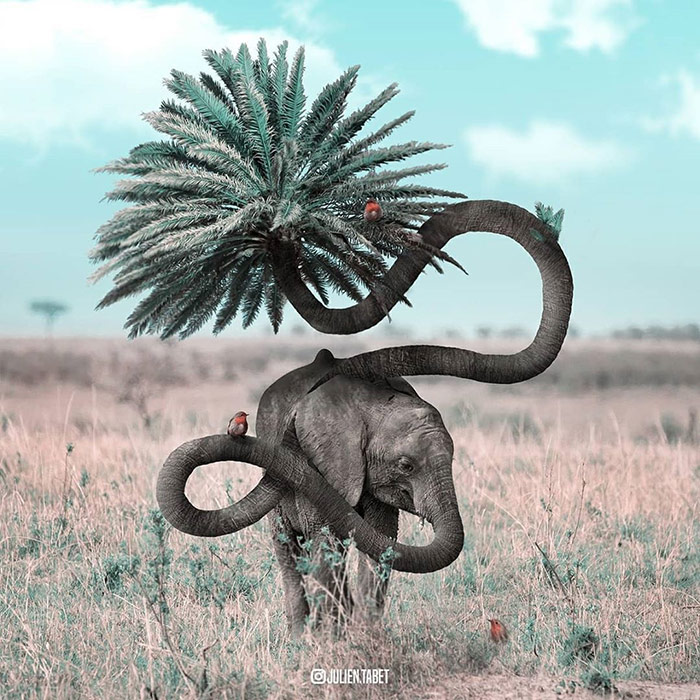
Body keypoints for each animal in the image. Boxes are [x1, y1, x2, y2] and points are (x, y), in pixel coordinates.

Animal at [156, 199, 573, 632]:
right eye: (405, 465)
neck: (371, 405)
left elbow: (382, 541)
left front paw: (367, 630)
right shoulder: (322, 462)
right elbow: (326, 544)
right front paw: (335, 636)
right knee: (287, 549)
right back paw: (300, 632)